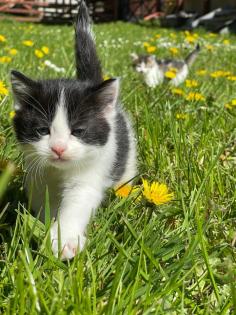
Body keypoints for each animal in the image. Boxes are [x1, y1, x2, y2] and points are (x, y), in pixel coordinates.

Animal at [10, 0, 136, 260]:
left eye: (77, 131)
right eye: (42, 130)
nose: (58, 149)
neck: (59, 172)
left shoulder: (91, 173)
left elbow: (78, 202)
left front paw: (64, 239)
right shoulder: (37, 176)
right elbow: (43, 203)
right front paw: (46, 226)